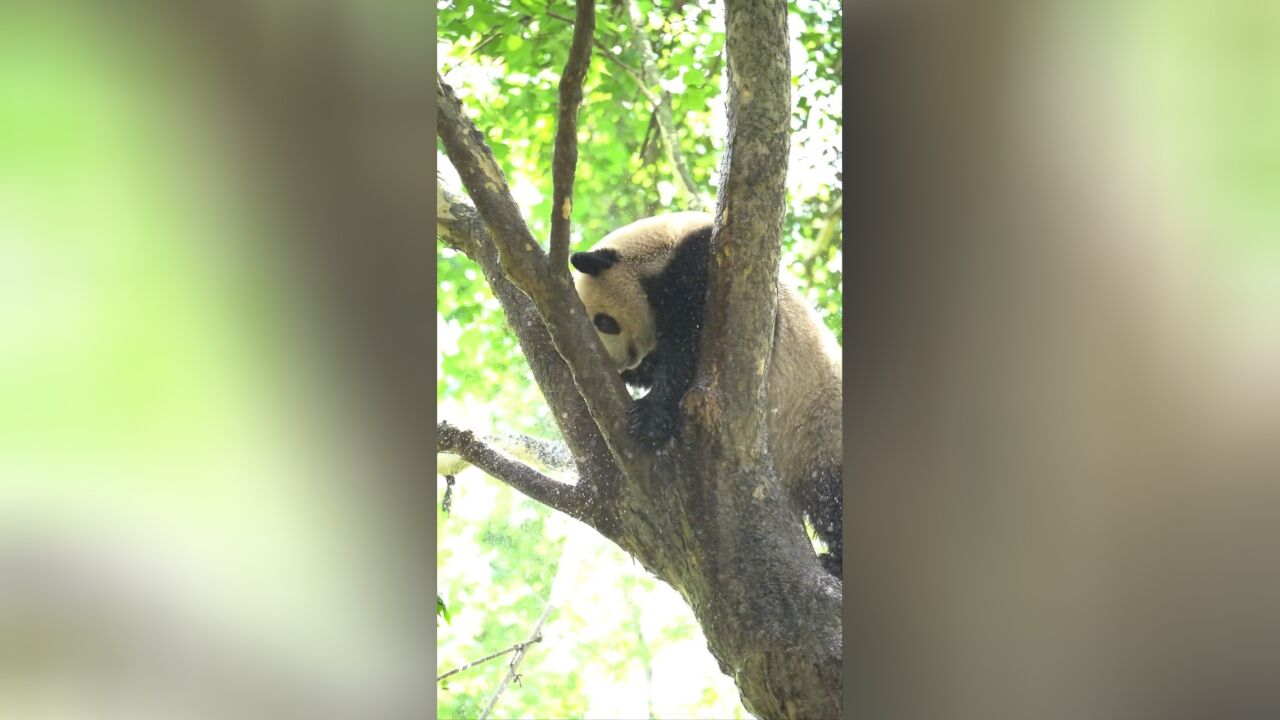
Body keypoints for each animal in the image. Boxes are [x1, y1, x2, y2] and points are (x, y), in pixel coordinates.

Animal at [570, 210, 839, 573]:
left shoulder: (706, 270)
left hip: (821, 431)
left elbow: (688, 347)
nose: (616, 364)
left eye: (604, 321)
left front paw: (650, 420)